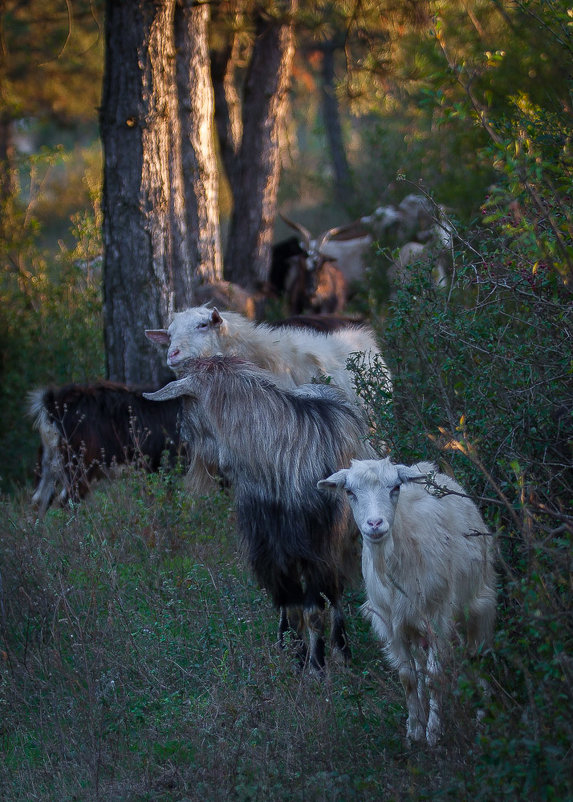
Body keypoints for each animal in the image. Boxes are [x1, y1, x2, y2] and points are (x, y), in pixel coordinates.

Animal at [143, 356, 378, 668]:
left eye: (185, 405)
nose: (180, 432)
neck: (279, 462)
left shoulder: (319, 550)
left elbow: (314, 611)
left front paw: (318, 666)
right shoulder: (271, 553)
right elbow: (290, 607)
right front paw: (293, 656)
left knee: (334, 594)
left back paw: (341, 651)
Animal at [318, 456, 496, 744]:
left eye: (395, 488)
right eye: (350, 492)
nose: (375, 524)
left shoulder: (438, 618)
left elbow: (435, 676)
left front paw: (433, 733)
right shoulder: (391, 624)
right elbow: (407, 677)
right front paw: (414, 730)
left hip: (478, 604)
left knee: (475, 654)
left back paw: (483, 711)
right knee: (423, 667)